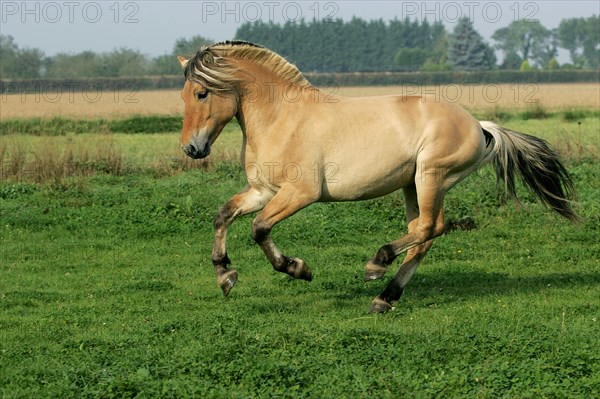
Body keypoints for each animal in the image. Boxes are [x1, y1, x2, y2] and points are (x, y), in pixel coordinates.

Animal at [177, 41, 576, 316]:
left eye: (202, 92)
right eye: (183, 95)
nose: (192, 149)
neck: (282, 118)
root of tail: (479, 126)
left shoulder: (300, 193)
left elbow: (259, 228)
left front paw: (299, 269)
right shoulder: (263, 190)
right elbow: (223, 215)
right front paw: (225, 276)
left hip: (431, 177)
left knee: (429, 228)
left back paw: (376, 266)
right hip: (413, 185)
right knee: (425, 235)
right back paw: (384, 298)